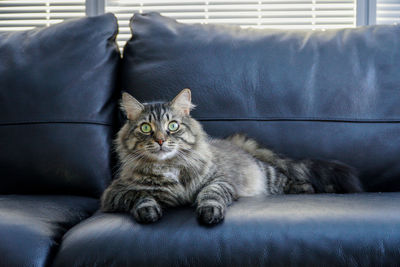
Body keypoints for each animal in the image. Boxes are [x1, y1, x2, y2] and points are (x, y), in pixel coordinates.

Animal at [101, 89, 362, 225]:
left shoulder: (219, 180)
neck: (170, 166)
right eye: (146, 128)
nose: (161, 140)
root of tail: (233, 142)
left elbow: (211, 195)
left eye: (173, 126)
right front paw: (148, 211)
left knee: (290, 180)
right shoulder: (115, 192)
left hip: (267, 175)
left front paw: (210, 213)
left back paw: (310, 188)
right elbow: (140, 196)